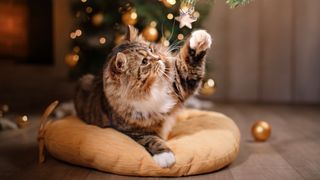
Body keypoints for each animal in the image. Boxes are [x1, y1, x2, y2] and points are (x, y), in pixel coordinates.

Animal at [74, 25, 211, 167]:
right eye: (144, 61)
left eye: (151, 49)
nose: (159, 57)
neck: (151, 91)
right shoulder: (133, 131)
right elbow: (151, 140)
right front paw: (165, 156)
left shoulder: (178, 84)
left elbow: (188, 65)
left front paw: (200, 38)